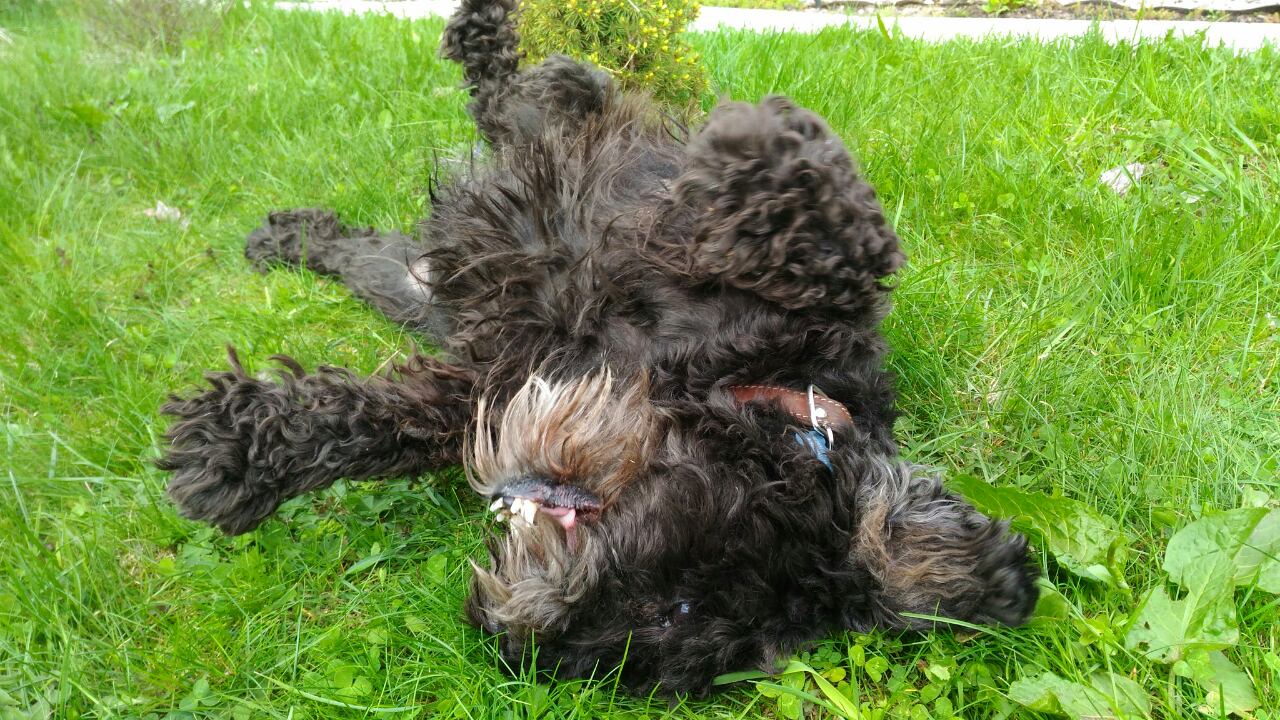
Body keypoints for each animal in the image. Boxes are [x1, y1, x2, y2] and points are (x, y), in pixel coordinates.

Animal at [158, 0, 1039, 696]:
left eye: (669, 625)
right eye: (675, 604)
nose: (519, 644)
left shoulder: (483, 382)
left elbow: (380, 424)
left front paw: (238, 445)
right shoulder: (802, 315)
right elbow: (846, 240)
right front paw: (756, 145)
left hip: (417, 288)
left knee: (376, 249)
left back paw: (291, 236)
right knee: (528, 99)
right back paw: (505, 45)